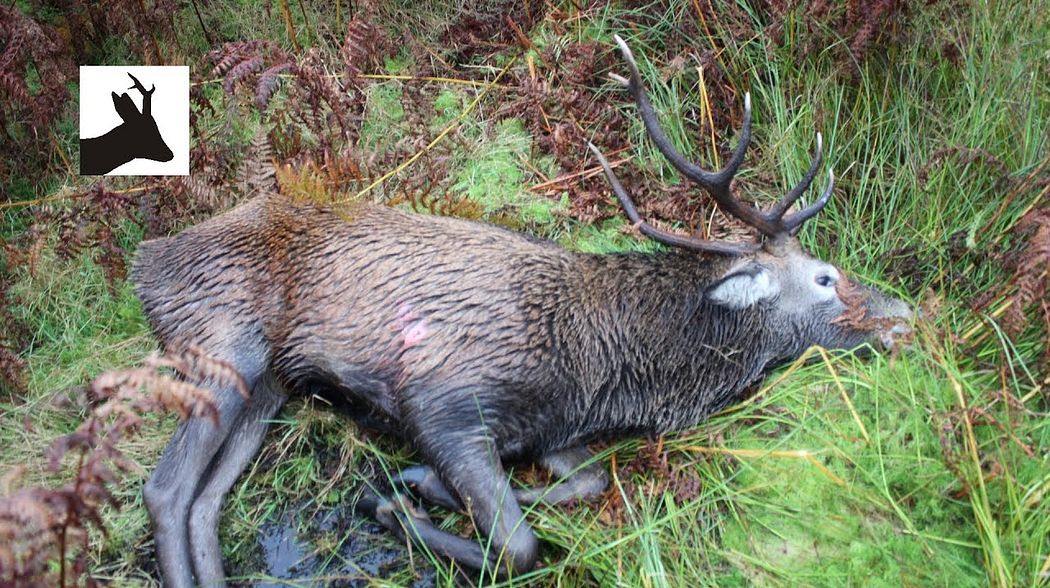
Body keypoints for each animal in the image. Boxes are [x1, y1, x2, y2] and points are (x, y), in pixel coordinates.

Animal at [132, 36, 911, 587]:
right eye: (825, 277)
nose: (903, 314)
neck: (607, 375)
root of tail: (145, 262)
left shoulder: (555, 434)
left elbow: (589, 482)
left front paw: (419, 487)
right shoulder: (443, 403)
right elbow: (520, 547)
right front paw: (394, 501)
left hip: (270, 390)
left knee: (205, 502)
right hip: (222, 343)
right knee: (165, 490)